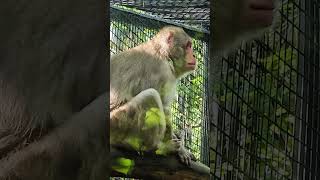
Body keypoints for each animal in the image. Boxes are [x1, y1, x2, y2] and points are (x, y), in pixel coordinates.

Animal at [109, 26, 196, 165]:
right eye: (188, 46)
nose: (194, 55)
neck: (164, 54)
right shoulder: (161, 71)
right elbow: (164, 106)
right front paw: (180, 149)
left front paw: (183, 149)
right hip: (116, 123)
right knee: (151, 96)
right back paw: (155, 148)